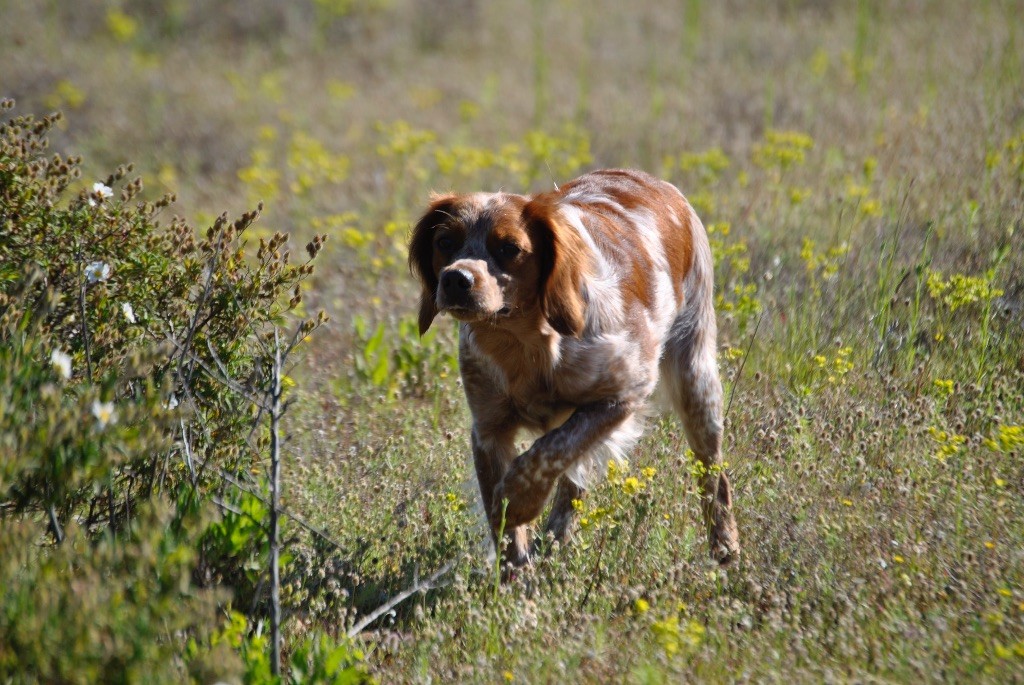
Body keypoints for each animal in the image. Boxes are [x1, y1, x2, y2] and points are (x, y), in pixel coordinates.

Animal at [409, 169, 739, 569]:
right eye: (444, 241)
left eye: (509, 248)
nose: (456, 279)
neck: (525, 343)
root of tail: (653, 179)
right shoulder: (488, 429)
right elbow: (507, 526)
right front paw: (517, 578)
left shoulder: (624, 393)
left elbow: (549, 450)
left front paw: (520, 499)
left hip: (697, 380)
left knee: (713, 476)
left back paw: (724, 546)